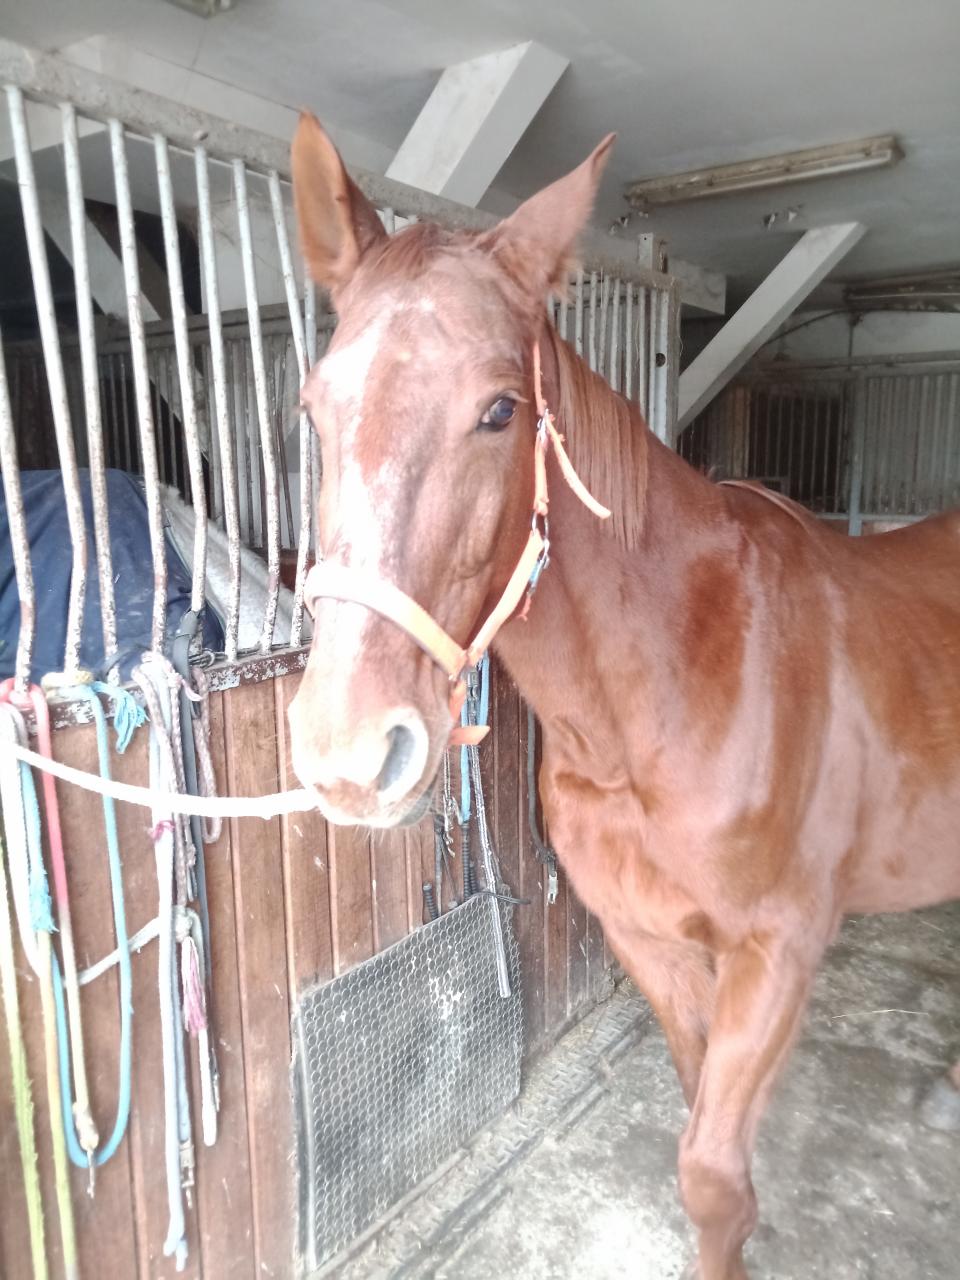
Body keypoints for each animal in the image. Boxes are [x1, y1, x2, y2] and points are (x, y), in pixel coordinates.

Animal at [285, 113, 960, 1278]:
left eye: (499, 411)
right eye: (316, 408)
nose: (349, 754)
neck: (675, 688)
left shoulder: (778, 952)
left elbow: (713, 1175)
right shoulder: (653, 942)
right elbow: (700, 1130)